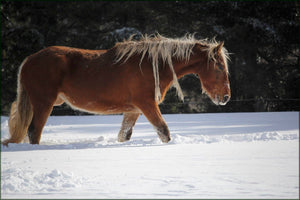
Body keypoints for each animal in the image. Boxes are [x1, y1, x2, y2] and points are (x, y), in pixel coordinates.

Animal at [1, 33, 230, 146]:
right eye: (219, 66)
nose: (226, 97)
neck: (151, 64)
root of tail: (29, 60)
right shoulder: (147, 105)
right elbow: (163, 131)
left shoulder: (134, 109)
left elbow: (124, 135)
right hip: (44, 103)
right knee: (34, 131)